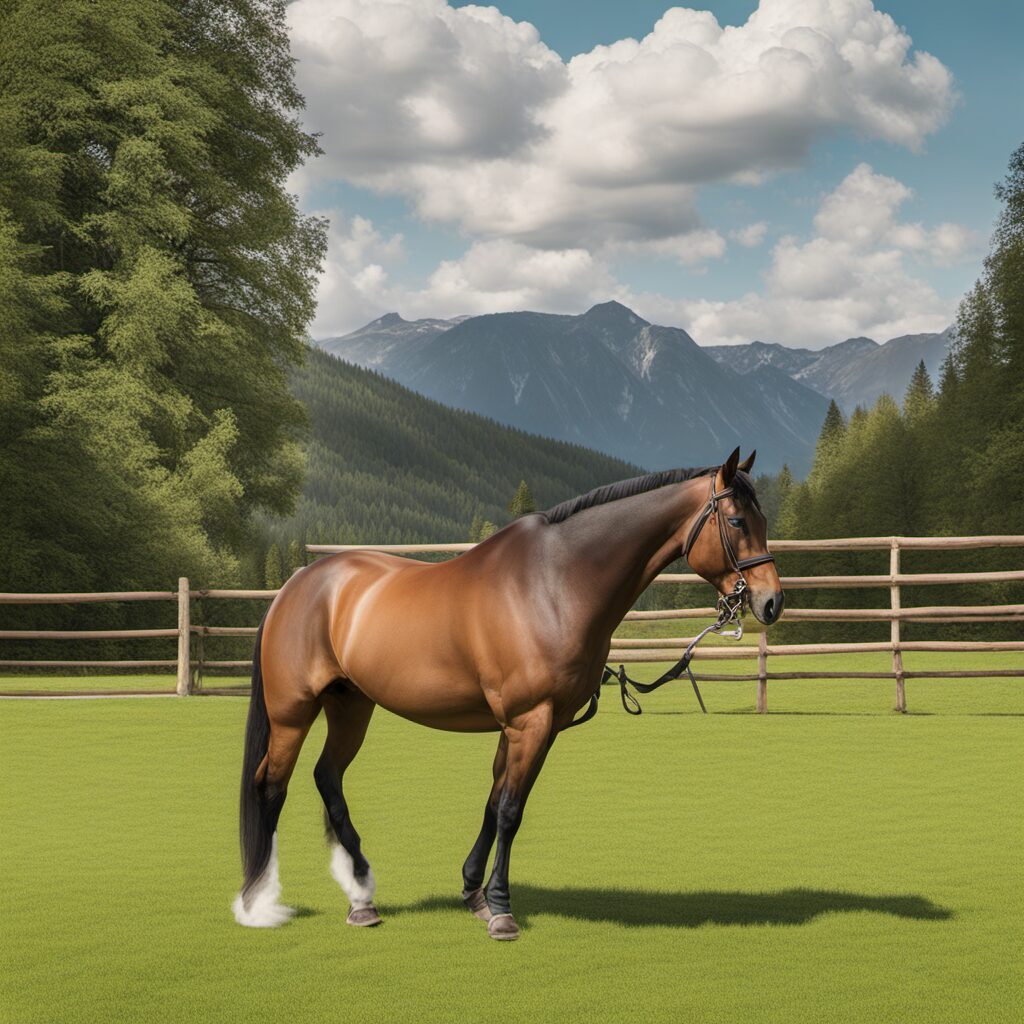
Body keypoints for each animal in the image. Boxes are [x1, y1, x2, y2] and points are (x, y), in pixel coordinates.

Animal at [232, 447, 783, 940]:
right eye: (737, 521)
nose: (771, 602)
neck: (555, 583)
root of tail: (295, 587)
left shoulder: (535, 725)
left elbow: (494, 803)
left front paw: (474, 893)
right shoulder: (528, 720)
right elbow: (511, 812)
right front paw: (500, 909)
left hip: (351, 706)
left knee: (327, 778)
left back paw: (362, 897)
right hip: (292, 713)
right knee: (271, 786)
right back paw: (260, 902)